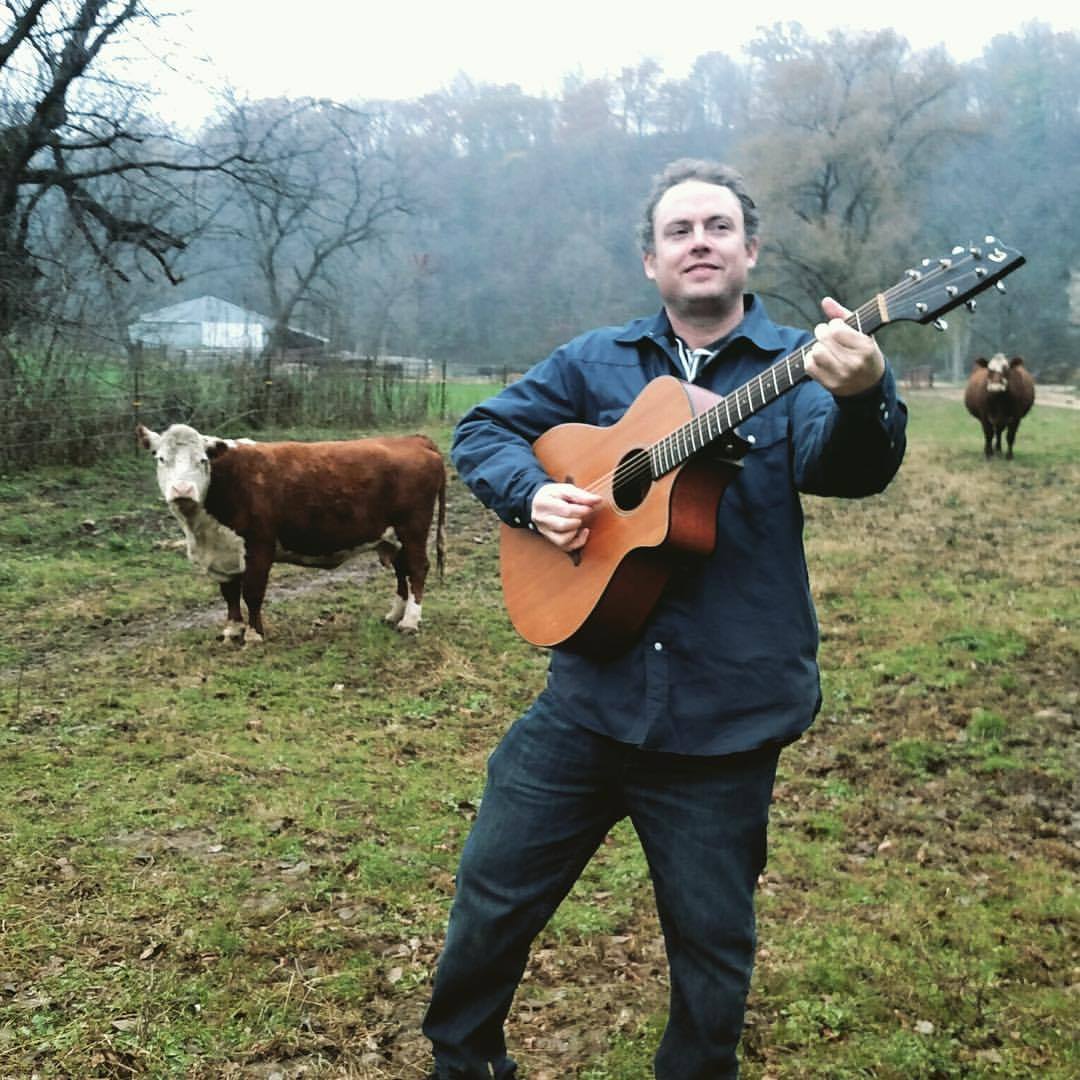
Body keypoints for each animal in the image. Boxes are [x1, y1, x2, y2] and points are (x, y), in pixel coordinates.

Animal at [137, 421, 444, 639]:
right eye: (161, 458)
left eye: (202, 460)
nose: (182, 490)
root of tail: (414, 439)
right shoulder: (224, 553)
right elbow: (230, 593)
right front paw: (233, 630)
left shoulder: (259, 547)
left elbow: (252, 593)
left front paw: (254, 634)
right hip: (393, 537)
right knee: (402, 570)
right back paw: (394, 615)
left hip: (412, 530)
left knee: (417, 569)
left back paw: (410, 622)